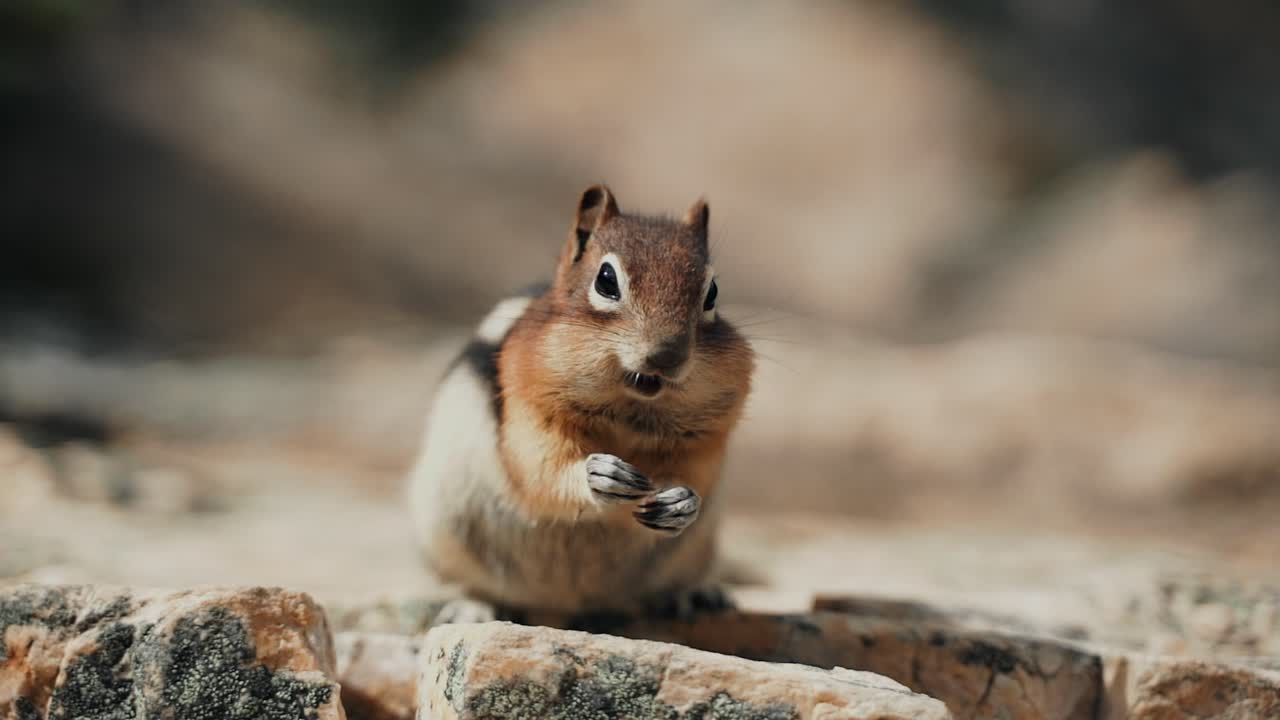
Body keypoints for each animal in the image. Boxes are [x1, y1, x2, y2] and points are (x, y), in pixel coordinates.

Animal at [407, 184, 755, 622]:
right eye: (606, 280)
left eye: (712, 293)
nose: (667, 356)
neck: (630, 406)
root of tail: (566, 605)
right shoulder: (530, 412)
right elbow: (540, 469)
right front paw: (598, 475)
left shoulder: (706, 437)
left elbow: (696, 475)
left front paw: (682, 502)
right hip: (448, 529)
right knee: (473, 583)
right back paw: (474, 607)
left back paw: (694, 596)